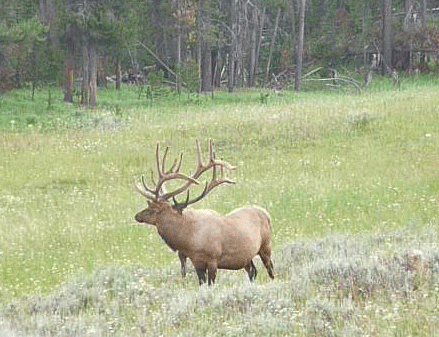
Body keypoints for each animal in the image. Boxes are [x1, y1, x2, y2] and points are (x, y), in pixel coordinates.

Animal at [133, 138, 276, 284]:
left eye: (153, 209)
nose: (137, 215)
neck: (188, 239)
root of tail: (267, 214)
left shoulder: (213, 259)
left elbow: (210, 284)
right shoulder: (196, 261)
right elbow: (202, 283)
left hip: (266, 246)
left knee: (270, 269)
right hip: (246, 257)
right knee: (253, 271)